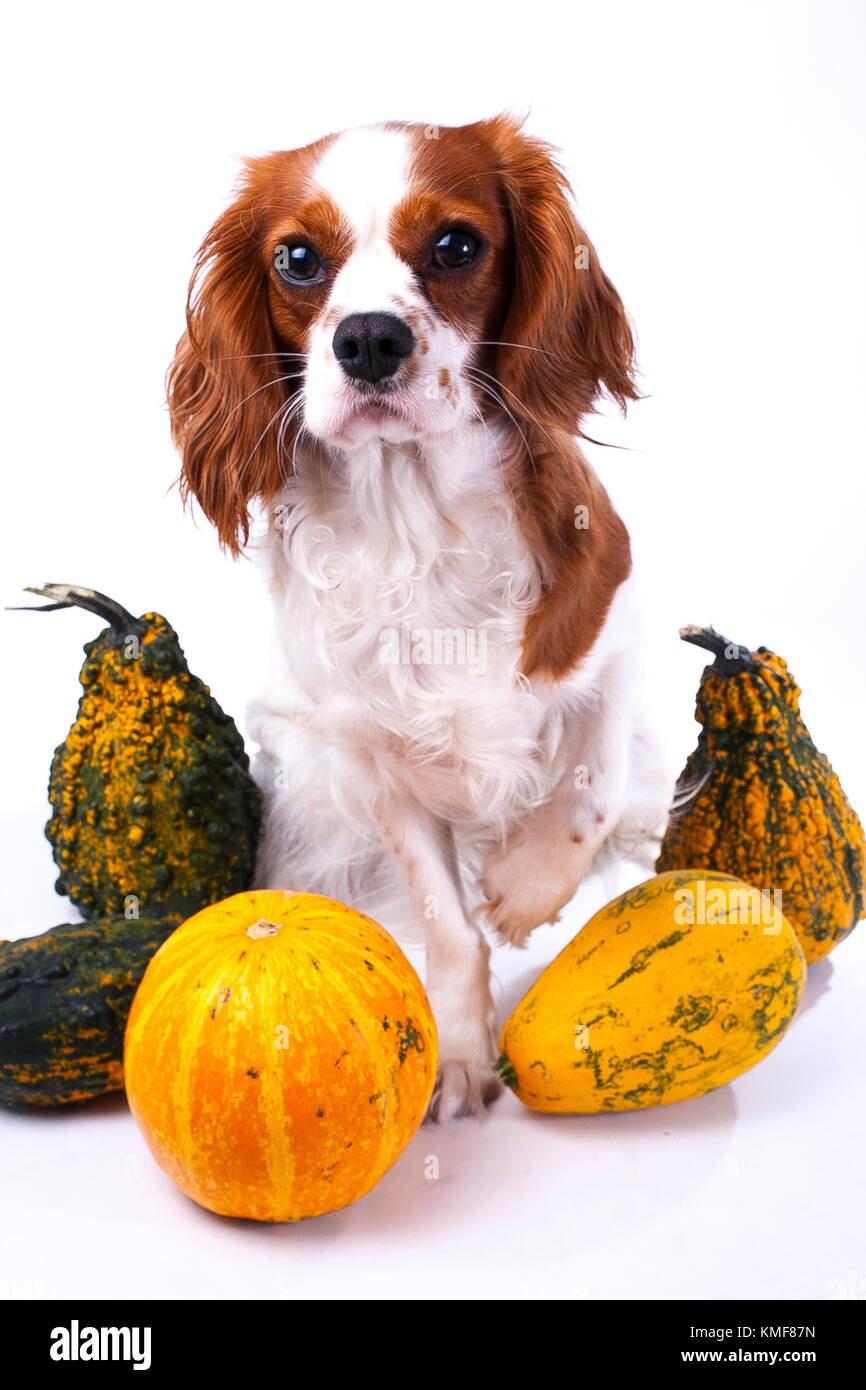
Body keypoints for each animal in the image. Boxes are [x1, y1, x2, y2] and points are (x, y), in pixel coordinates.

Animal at [169, 116, 670, 1117]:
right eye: (296, 258)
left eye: (456, 246)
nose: (368, 338)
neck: (416, 517)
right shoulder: (375, 759)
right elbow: (445, 921)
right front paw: (465, 1054)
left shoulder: (616, 627)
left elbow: (589, 786)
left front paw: (525, 890)